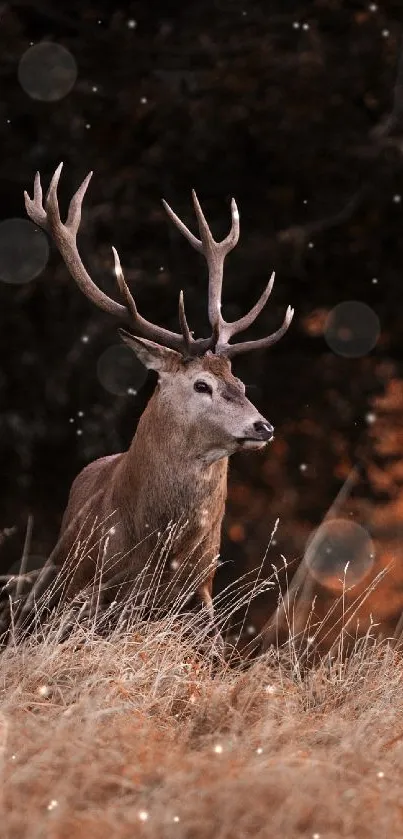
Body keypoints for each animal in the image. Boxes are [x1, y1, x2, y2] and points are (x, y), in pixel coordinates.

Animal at [1, 164, 296, 648]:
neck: (155, 550)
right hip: (56, 576)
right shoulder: (92, 584)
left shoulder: (200, 590)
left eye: (240, 382)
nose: (263, 427)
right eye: (201, 385)